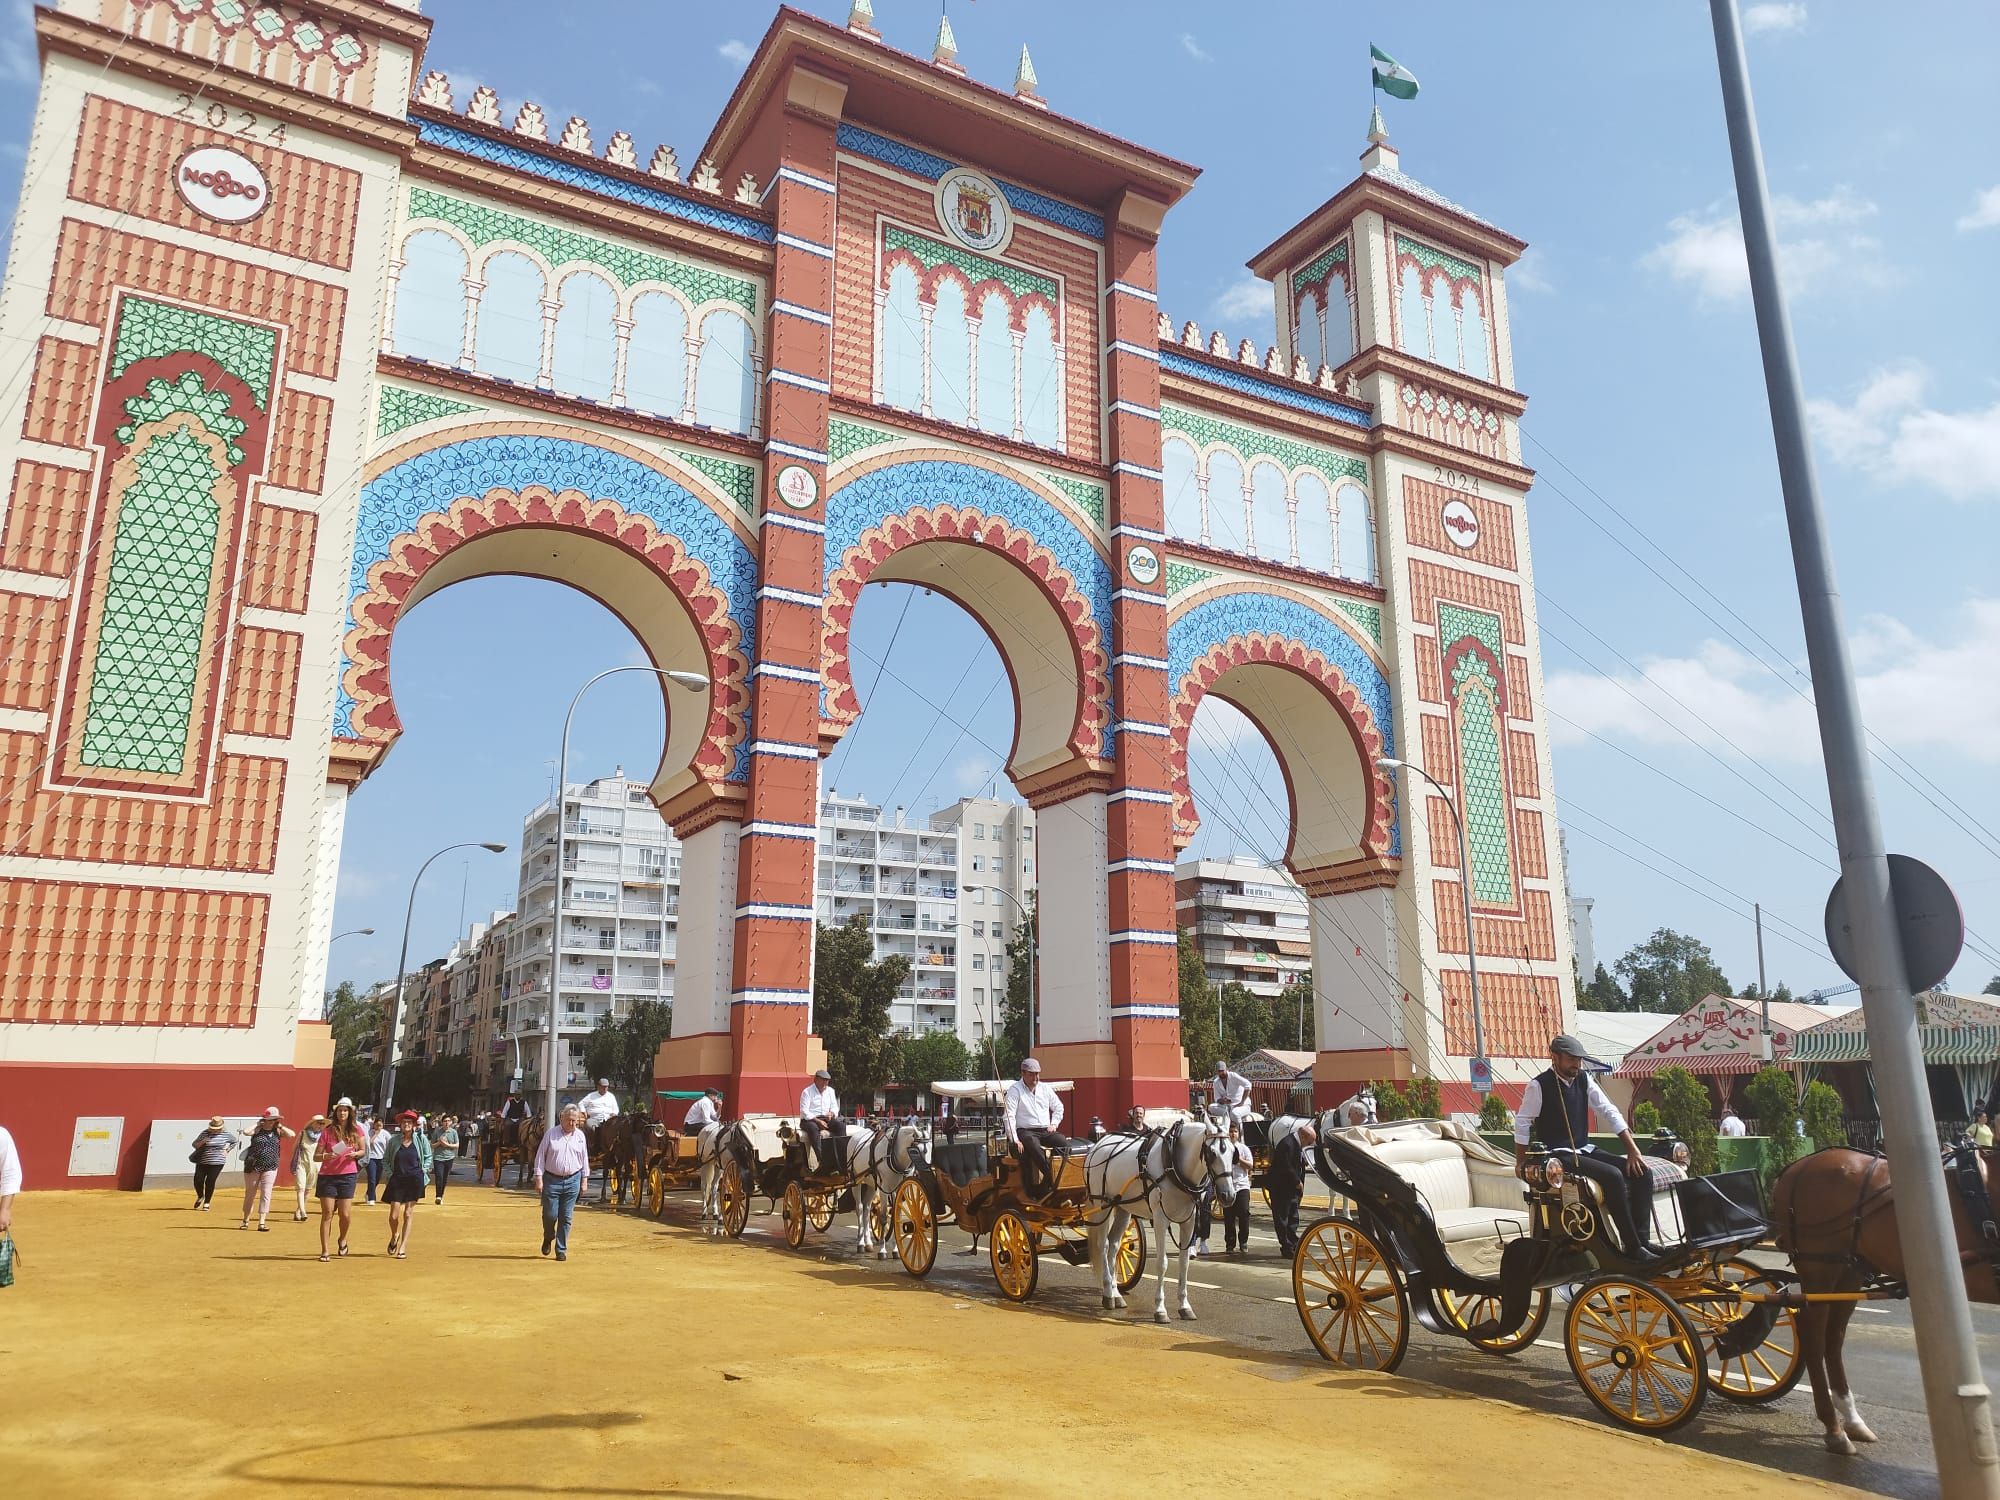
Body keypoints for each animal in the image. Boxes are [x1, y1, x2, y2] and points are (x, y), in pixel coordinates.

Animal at [1088, 1120, 1240, 1320]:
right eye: (1212, 1153)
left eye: (1233, 1151)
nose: (1228, 1195)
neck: (1174, 1166)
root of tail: (1097, 1145)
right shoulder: (1160, 1220)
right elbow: (1162, 1264)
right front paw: (1160, 1309)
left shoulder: (1189, 1221)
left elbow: (1184, 1263)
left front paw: (1184, 1306)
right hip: (1102, 1206)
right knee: (1103, 1245)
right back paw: (1107, 1294)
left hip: (1123, 1209)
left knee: (1114, 1245)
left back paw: (1115, 1293)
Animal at [1776, 1152, 1992, 1456]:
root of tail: (1799, 1165)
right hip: (1819, 1266)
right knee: (1813, 1336)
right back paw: (1834, 1428)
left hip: (1849, 1270)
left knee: (1833, 1337)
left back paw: (1851, 1418)